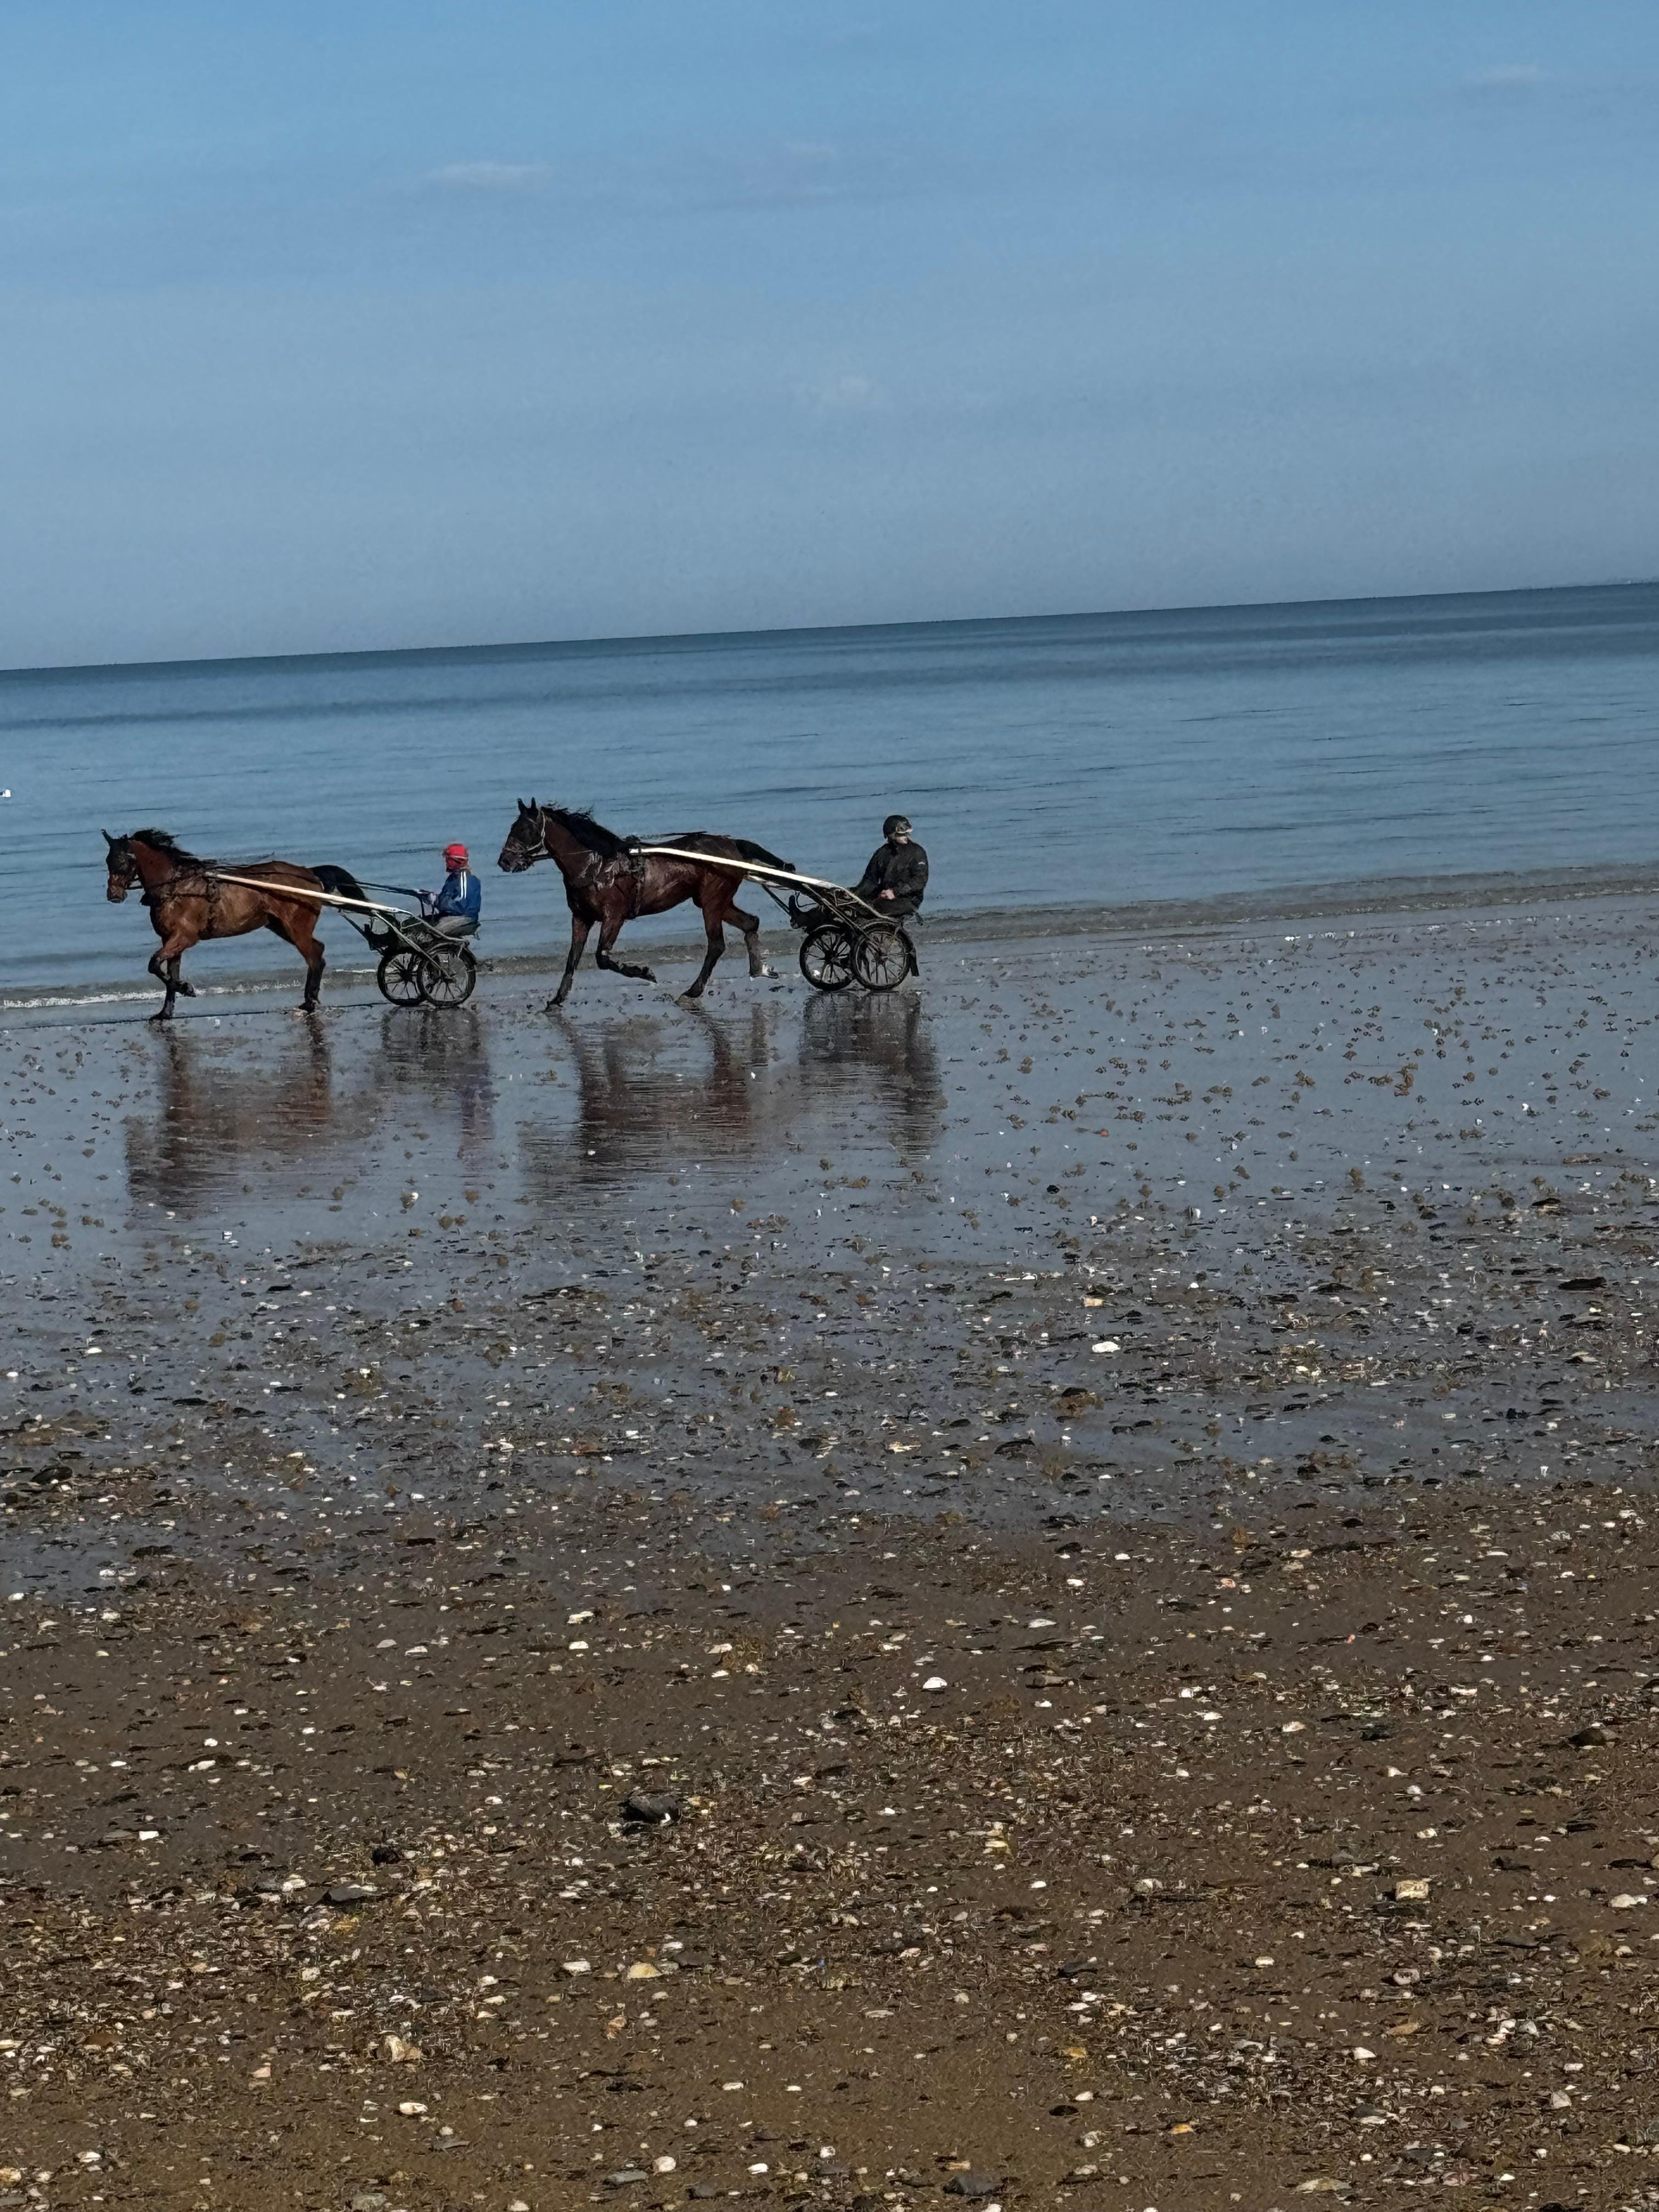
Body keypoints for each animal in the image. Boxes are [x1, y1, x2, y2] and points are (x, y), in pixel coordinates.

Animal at [102, 828, 368, 1021]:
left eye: (123, 861)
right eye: (107, 860)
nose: (113, 895)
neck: (178, 888)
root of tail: (309, 873)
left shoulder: (185, 937)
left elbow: (154, 965)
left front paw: (186, 988)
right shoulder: (170, 940)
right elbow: (168, 973)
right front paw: (166, 1012)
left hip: (296, 928)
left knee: (315, 957)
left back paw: (310, 1002)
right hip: (280, 927)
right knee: (317, 952)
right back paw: (308, 1000)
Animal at [495, 801, 793, 1006]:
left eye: (526, 829)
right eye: (512, 828)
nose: (505, 861)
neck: (597, 866)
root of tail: (731, 845)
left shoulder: (614, 917)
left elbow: (603, 958)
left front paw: (645, 973)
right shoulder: (581, 918)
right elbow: (572, 959)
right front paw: (557, 999)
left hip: (712, 902)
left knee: (717, 945)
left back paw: (693, 991)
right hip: (715, 901)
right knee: (750, 923)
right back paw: (760, 969)